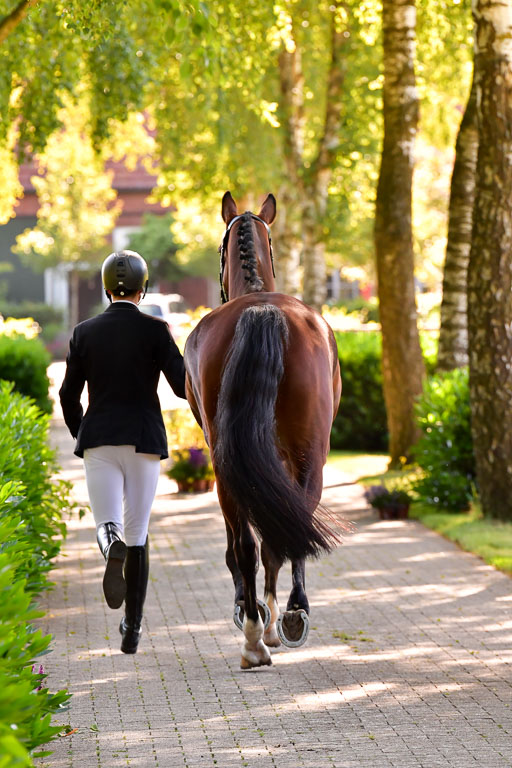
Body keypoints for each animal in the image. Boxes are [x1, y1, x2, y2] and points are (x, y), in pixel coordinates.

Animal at [184, 191, 342, 669]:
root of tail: (261, 310)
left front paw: (254, 611)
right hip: (307, 456)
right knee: (283, 530)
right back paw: (283, 618)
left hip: (230, 467)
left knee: (249, 544)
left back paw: (257, 631)